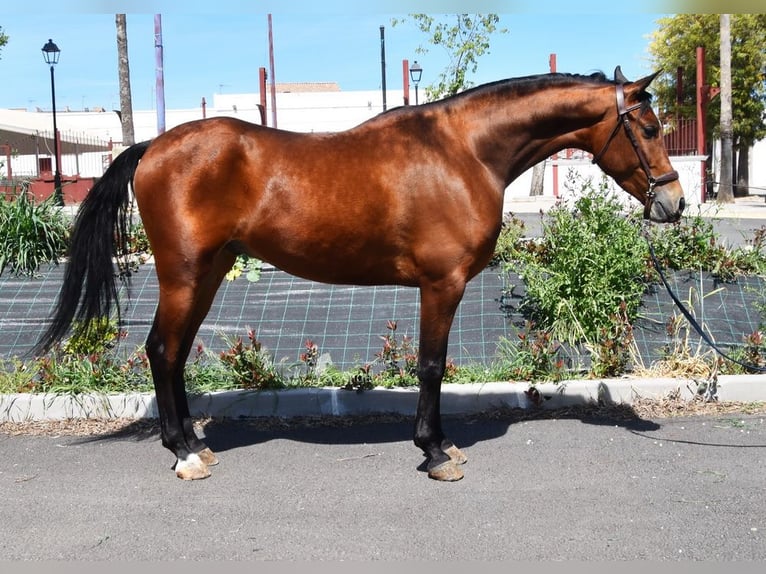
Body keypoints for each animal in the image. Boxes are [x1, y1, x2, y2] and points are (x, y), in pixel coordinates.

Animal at [36, 66, 684, 481]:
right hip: (184, 273)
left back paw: (195, 443)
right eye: (650, 129)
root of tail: (152, 147)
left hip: (210, 271)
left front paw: (439, 445)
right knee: (162, 349)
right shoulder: (442, 284)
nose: (673, 204)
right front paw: (435, 452)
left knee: (173, 353)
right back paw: (184, 454)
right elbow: (431, 365)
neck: (464, 151)